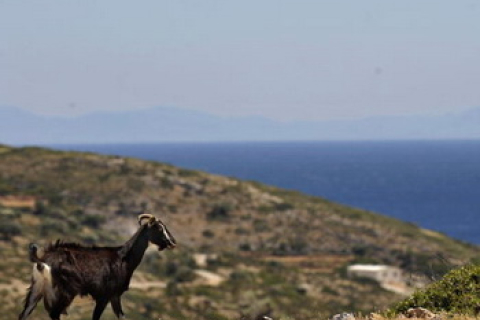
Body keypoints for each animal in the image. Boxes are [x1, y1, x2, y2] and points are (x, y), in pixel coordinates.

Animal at [19, 212, 176, 320]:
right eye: (158, 228)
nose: (172, 242)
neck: (123, 257)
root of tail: (43, 259)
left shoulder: (114, 295)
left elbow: (122, 316)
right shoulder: (104, 295)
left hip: (37, 287)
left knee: (26, 312)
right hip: (65, 291)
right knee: (54, 313)